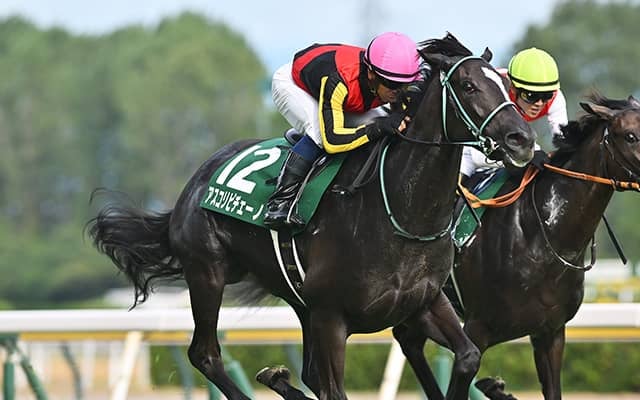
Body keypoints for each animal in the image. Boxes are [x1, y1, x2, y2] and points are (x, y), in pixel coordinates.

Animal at [87, 33, 535, 400]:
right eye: (468, 85)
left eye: (506, 85)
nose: (522, 139)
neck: (402, 214)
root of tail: (192, 186)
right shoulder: (331, 317)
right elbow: (335, 390)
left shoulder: (425, 303)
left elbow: (468, 356)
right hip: (207, 272)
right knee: (205, 354)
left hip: (295, 301)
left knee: (299, 374)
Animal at [405, 93, 640, 400]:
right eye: (630, 136)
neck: (543, 237)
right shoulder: (477, 328)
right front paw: (495, 387)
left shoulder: (550, 333)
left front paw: (496, 387)